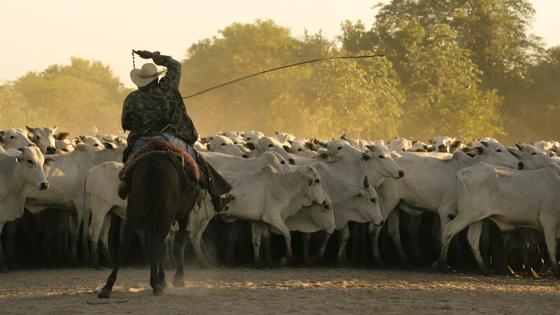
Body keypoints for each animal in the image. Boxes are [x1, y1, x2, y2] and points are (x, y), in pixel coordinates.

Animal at [98, 146, 199, 298]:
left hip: (135, 210)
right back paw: (155, 284)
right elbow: (178, 242)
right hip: (164, 216)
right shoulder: (183, 215)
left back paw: (108, 286)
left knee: (126, 243)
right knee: (156, 242)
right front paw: (176, 278)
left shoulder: (149, 221)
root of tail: (154, 166)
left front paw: (162, 279)